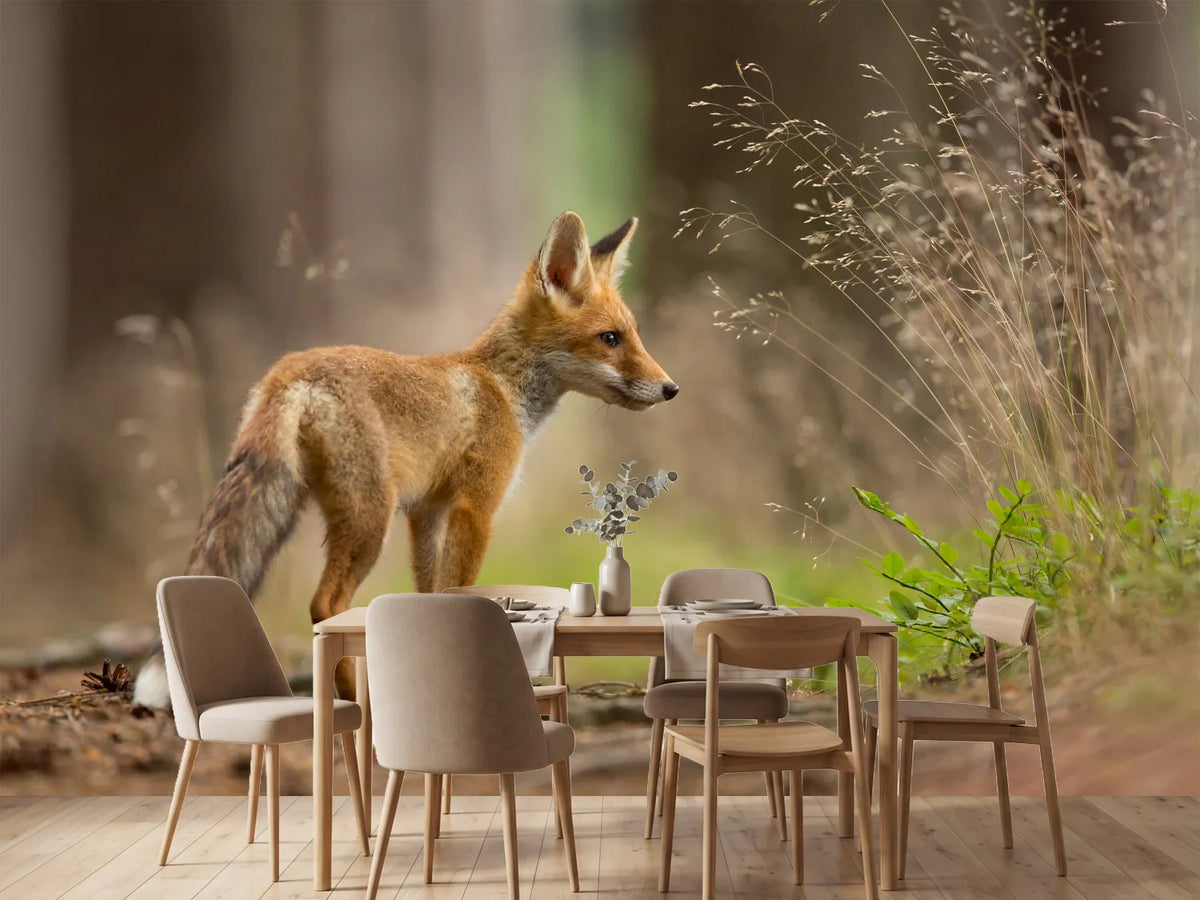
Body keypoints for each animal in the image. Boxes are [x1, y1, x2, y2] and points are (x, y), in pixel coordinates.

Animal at [133, 211, 677, 707]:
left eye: (633, 335)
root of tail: (289, 370)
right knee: (327, 605)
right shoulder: (475, 508)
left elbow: (429, 595)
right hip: (370, 519)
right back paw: (353, 703)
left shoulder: (426, 512)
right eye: (610, 339)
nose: (671, 389)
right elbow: (459, 590)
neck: (500, 387)